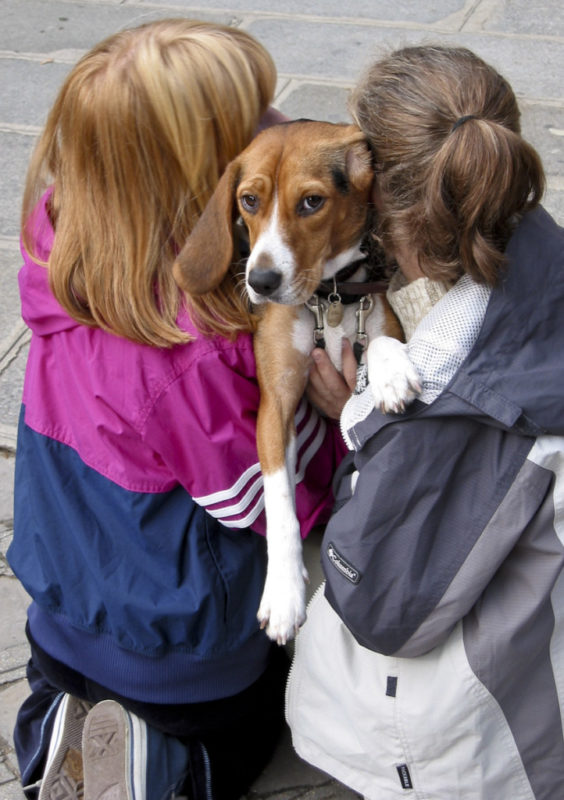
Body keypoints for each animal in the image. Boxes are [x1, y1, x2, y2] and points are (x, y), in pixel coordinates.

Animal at [175, 119, 418, 644]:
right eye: (248, 200)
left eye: (311, 202)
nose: (261, 281)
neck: (330, 297)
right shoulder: (277, 406)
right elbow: (280, 501)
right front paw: (284, 592)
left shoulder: (375, 314)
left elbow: (382, 342)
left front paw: (390, 371)